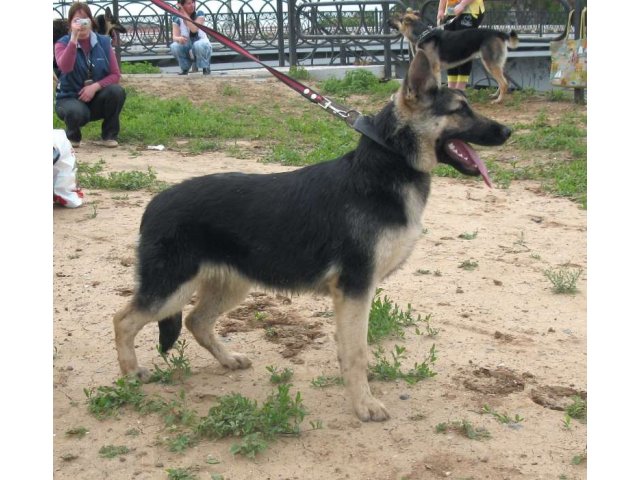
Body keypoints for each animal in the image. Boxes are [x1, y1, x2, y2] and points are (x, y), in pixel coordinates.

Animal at [112, 50, 512, 422]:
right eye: (460, 110)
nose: (508, 132)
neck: (388, 163)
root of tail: (154, 203)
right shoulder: (355, 289)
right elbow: (356, 352)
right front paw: (364, 405)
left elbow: (351, 351)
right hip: (171, 288)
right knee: (124, 320)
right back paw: (131, 374)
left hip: (231, 285)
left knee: (196, 321)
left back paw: (227, 359)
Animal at [388, 8, 516, 104]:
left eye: (396, 16)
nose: (387, 21)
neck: (421, 34)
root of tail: (498, 33)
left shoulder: (435, 69)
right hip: (495, 64)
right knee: (504, 81)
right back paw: (495, 95)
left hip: (490, 64)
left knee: (504, 83)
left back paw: (499, 100)